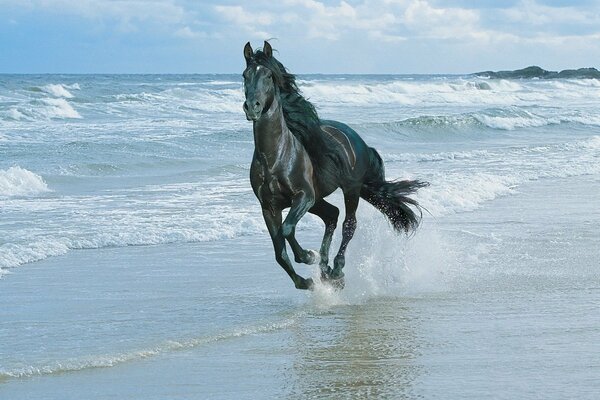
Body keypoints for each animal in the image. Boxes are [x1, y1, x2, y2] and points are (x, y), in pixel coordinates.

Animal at [240, 41, 426, 290]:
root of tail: (358, 140)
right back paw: (325, 270)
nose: (252, 107)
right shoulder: (269, 207)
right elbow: (279, 252)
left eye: (269, 76)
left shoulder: (304, 196)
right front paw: (306, 281)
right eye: (245, 75)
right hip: (319, 199)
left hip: (349, 189)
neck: (275, 157)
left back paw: (336, 269)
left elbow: (287, 229)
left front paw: (308, 256)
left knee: (349, 224)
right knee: (332, 216)